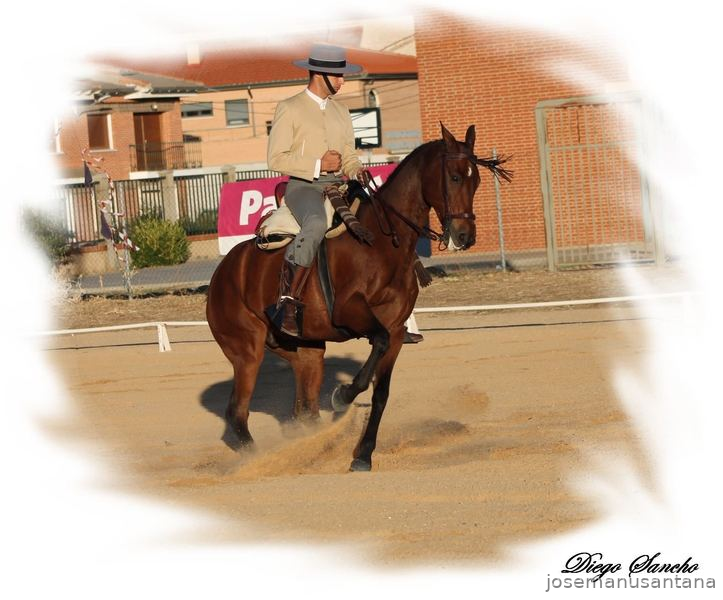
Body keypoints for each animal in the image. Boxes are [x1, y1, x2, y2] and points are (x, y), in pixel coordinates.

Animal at [206, 123, 511, 472]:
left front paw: (363, 453)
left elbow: (382, 391)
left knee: (303, 410)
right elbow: (374, 348)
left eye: (476, 180)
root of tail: (224, 271)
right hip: (247, 352)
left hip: (306, 351)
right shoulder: (350, 311)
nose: (464, 236)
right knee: (237, 413)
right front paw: (343, 395)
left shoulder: (395, 331)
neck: (382, 242)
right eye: (455, 176)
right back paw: (260, 460)